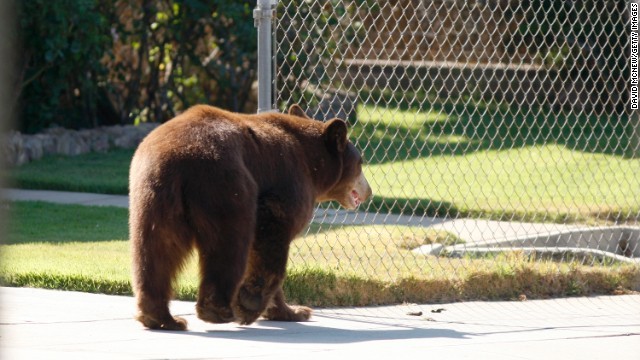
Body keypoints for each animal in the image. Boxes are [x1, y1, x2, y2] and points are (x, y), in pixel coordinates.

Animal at [128, 103, 372, 330]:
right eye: (360, 163)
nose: (369, 191)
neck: (313, 165)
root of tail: (177, 158)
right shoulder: (289, 183)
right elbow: (271, 234)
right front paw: (251, 303)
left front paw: (293, 311)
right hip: (225, 184)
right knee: (230, 242)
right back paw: (219, 310)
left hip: (153, 197)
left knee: (156, 250)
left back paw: (161, 317)